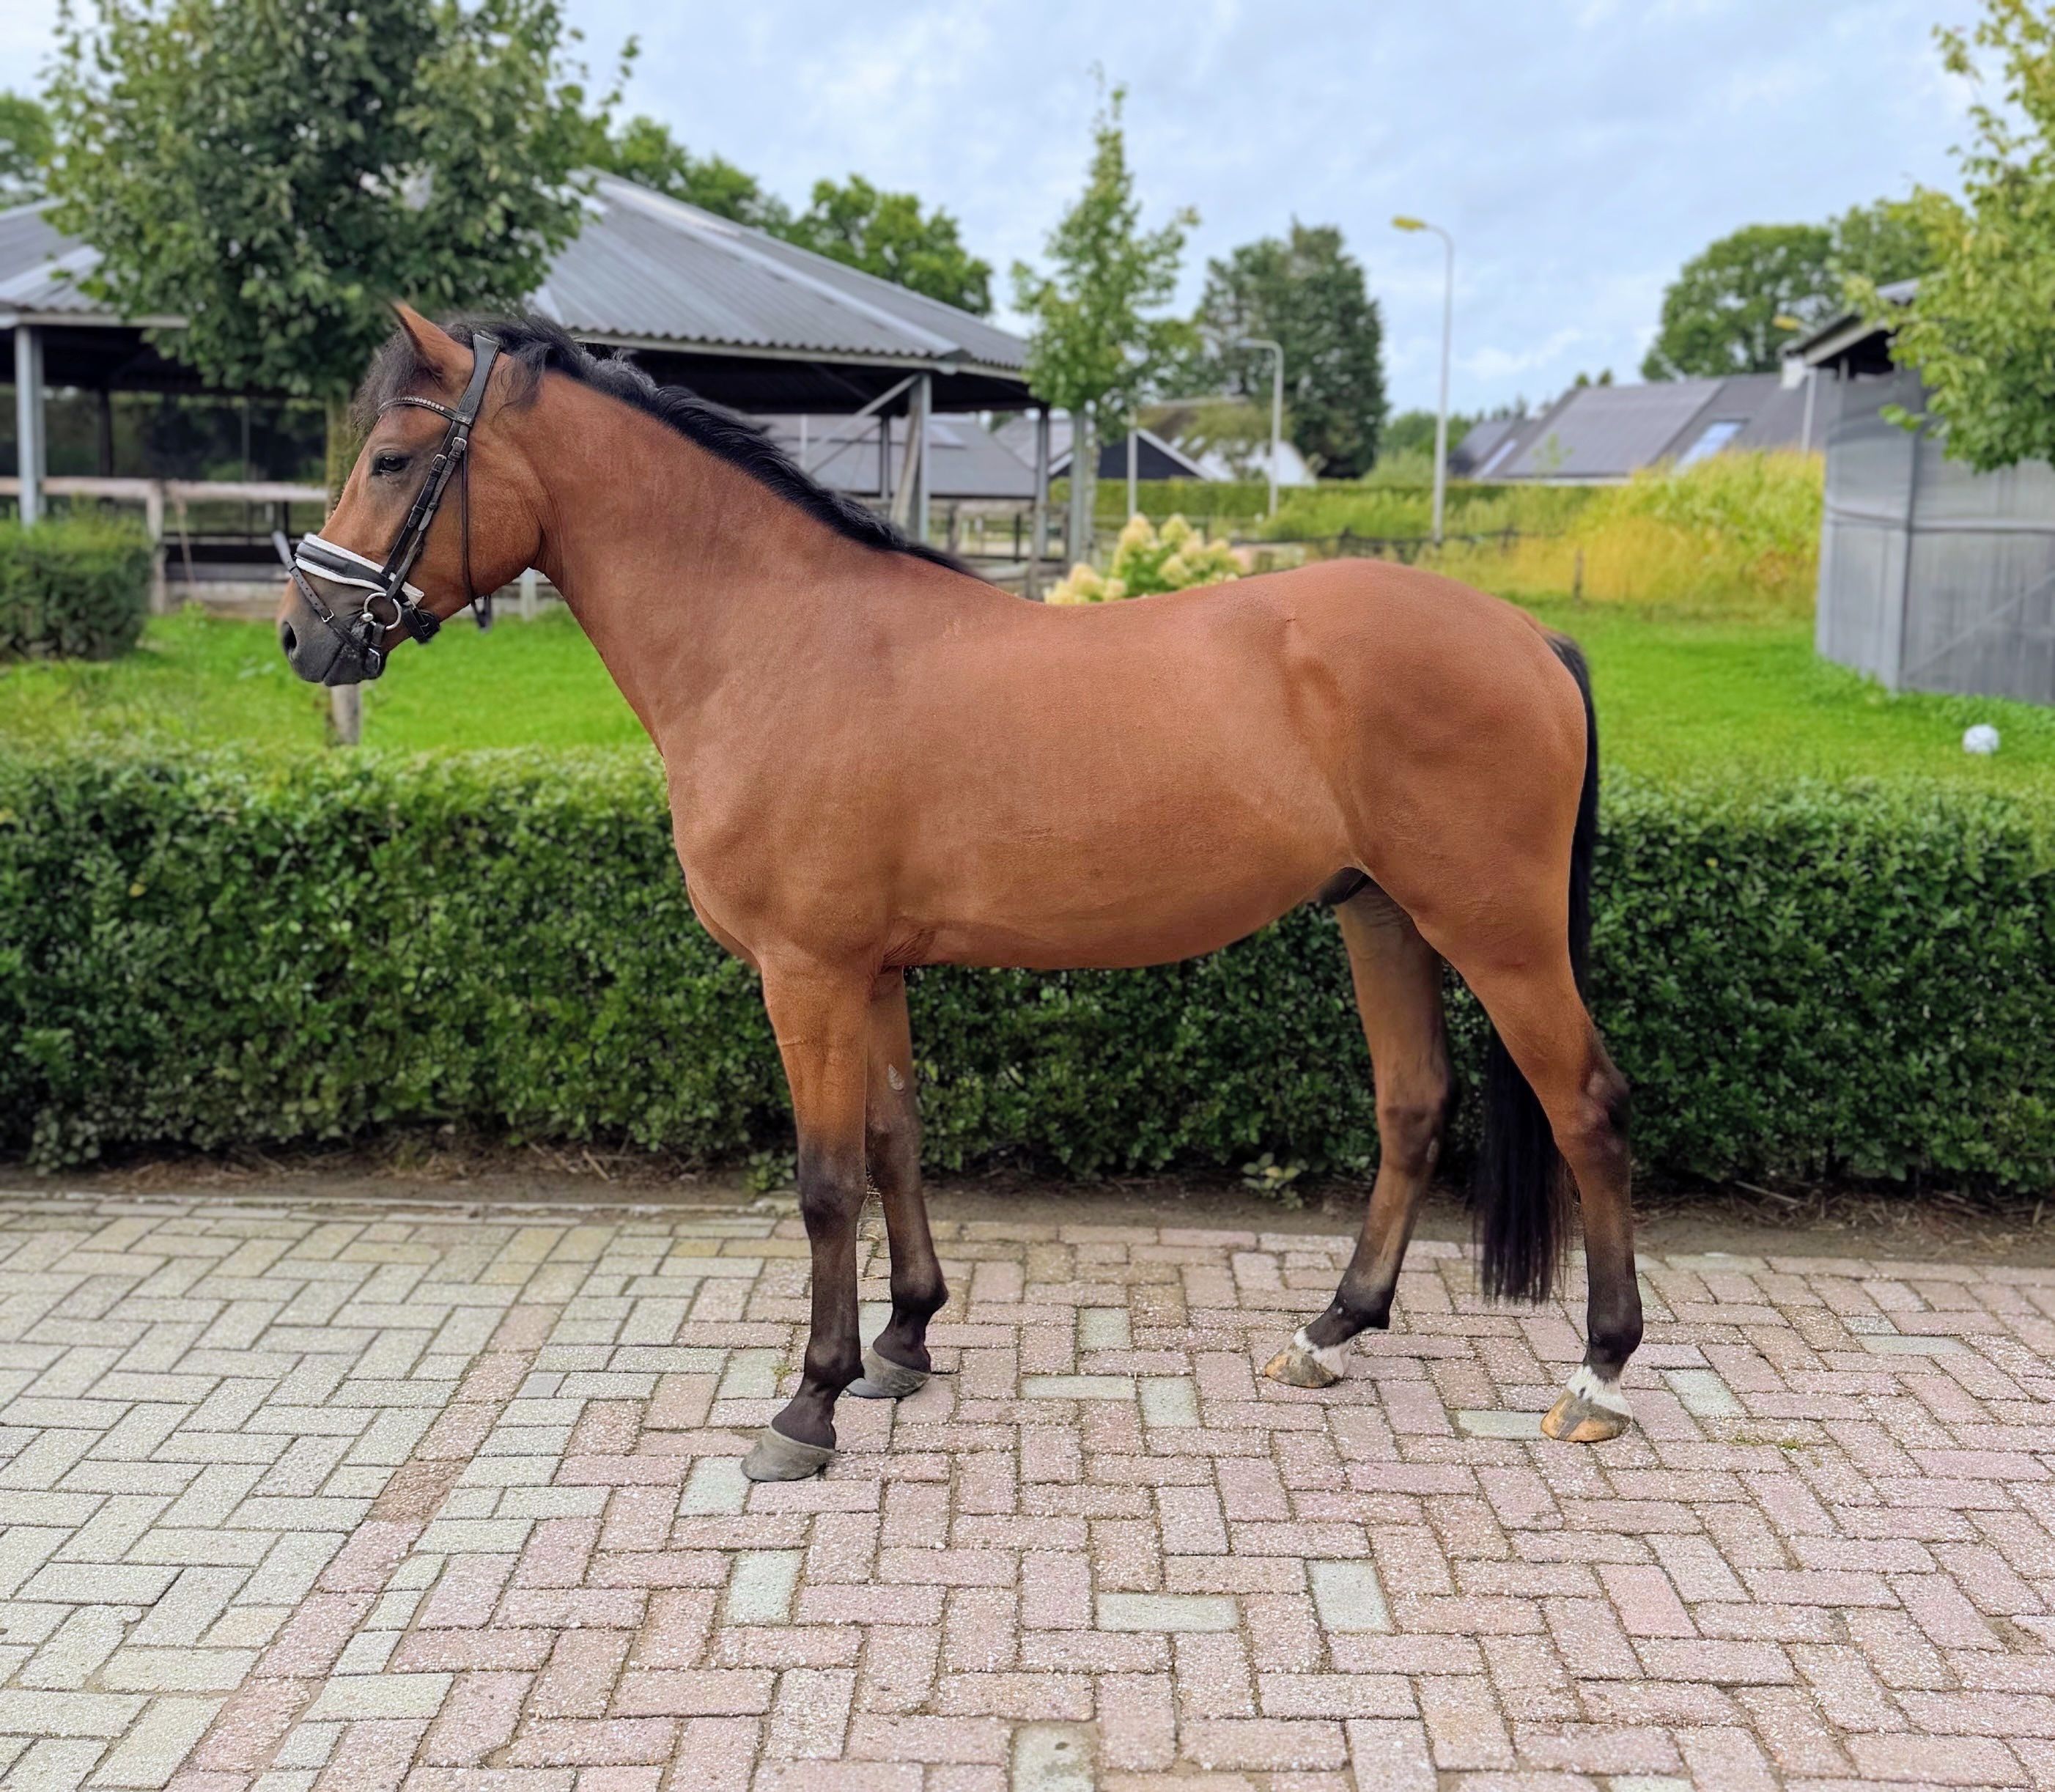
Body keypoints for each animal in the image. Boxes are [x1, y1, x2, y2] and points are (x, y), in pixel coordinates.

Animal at [278, 306, 1642, 1481]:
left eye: (392, 459)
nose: (304, 634)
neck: (777, 639)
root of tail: (1525, 636)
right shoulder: (871, 970)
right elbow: (895, 1141)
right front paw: (903, 1343)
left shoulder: (806, 973)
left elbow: (825, 1180)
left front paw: (808, 1403)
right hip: (1381, 915)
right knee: (1411, 1106)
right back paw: (1328, 1332)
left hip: (1496, 931)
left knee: (1584, 1105)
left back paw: (1596, 1374)